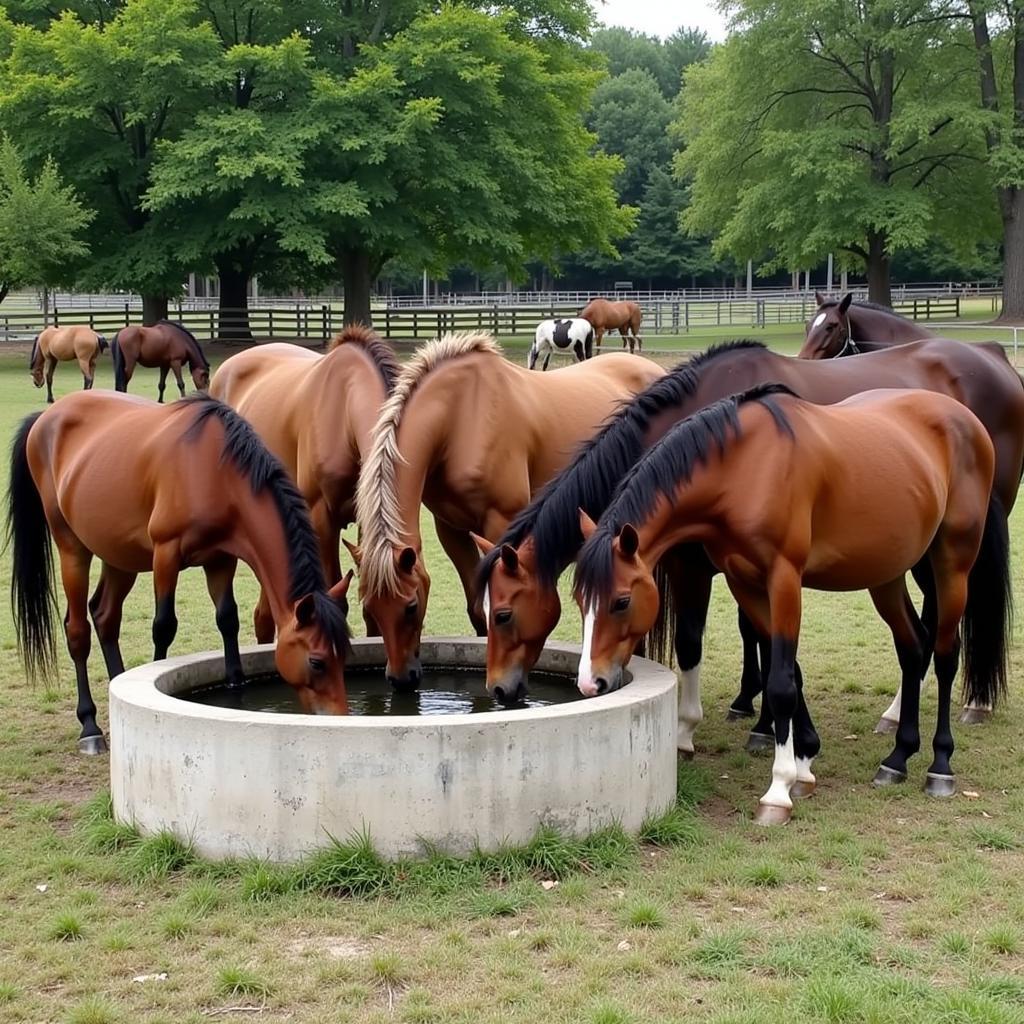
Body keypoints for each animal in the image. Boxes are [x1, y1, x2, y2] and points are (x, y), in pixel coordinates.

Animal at [6, 391, 354, 753]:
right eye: (316, 662)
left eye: (345, 655)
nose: (338, 716)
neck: (215, 470)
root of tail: (46, 417)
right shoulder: (166, 554)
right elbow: (163, 627)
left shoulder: (220, 560)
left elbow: (228, 620)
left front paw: (235, 688)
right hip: (72, 548)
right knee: (78, 631)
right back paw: (89, 727)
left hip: (119, 555)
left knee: (105, 615)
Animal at [352, 331, 663, 692]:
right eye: (370, 607)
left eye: (411, 606)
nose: (401, 679)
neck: (462, 417)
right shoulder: (450, 530)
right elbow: (477, 609)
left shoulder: (501, 525)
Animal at [475, 335, 1019, 745]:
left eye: (502, 613)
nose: (497, 692)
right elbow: (752, 636)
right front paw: (758, 716)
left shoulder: (698, 564)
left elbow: (700, 640)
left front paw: (713, 727)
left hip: (944, 550)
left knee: (946, 620)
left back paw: (957, 709)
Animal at [577, 385, 1007, 823]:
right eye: (580, 599)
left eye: (621, 601)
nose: (590, 683)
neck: (744, 466)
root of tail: (967, 420)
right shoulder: (744, 582)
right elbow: (788, 670)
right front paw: (805, 762)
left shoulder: (784, 579)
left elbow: (781, 682)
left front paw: (779, 788)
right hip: (886, 574)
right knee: (913, 647)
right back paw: (897, 758)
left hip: (952, 564)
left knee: (945, 654)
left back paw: (940, 766)